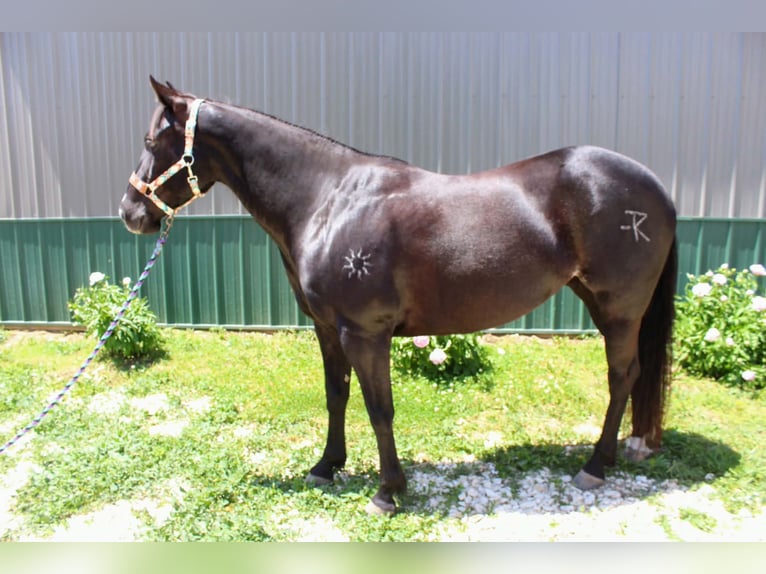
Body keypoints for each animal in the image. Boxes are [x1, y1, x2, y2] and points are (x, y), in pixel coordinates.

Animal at [120, 77, 677, 515]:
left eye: (150, 139)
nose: (130, 212)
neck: (328, 200)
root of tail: (656, 189)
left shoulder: (366, 333)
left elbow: (379, 408)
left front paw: (388, 492)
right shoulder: (328, 328)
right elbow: (337, 396)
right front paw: (326, 466)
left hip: (620, 309)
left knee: (622, 375)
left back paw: (595, 465)